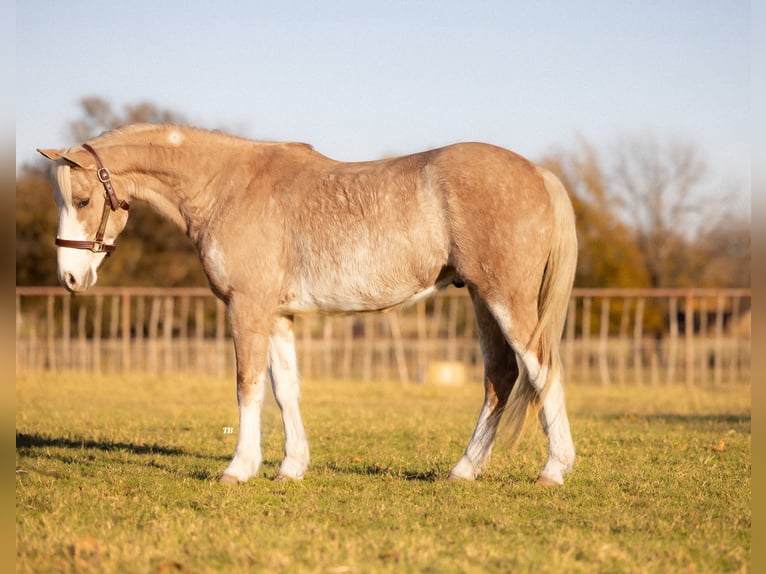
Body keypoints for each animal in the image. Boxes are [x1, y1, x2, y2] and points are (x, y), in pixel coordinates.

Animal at [36, 124, 576, 488]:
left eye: (82, 200)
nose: (70, 278)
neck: (228, 188)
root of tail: (538, 173)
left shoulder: (247, 309)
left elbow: (248, 387)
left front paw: (239, 468)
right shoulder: (277, 316)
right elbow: (285, 390)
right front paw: (290, 468)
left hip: (506, 299)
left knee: (542, 368)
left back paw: (553, 469)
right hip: (482, 299)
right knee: (500, 378)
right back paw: (464, 470)